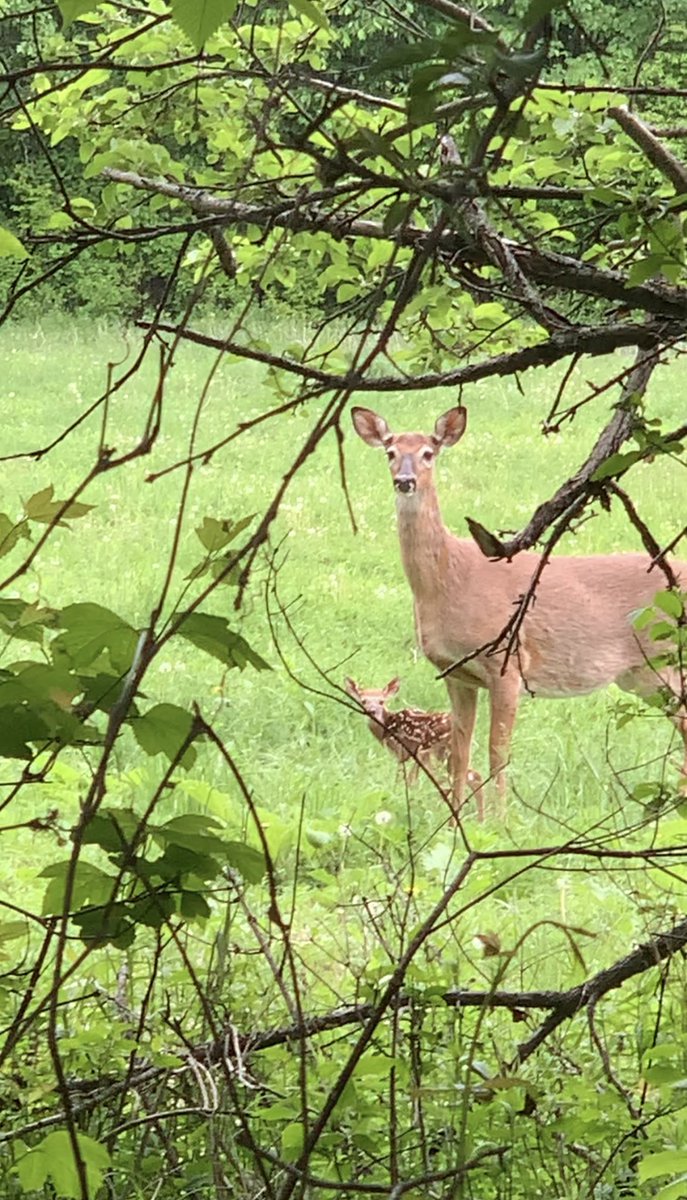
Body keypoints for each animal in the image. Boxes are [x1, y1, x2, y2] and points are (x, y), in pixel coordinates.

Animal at [344, 676, 483, 810]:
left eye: (381, 701)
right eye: (363, 701)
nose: (371, 711)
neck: (386, 726)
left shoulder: (402, 751)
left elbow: (404, 778)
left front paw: (397, 794)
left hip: (431, 748)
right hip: (443, 753)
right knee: (473, 776)